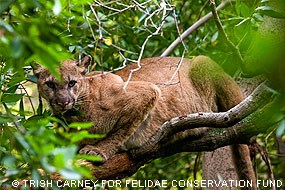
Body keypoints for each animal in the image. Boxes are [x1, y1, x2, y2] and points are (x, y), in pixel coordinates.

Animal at [32, 55, 254, 183]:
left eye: (71, 83)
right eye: (50, 84)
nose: (63, 102)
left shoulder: (146, 92)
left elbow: (121, 131)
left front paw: (99, 150)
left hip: (203, 62)